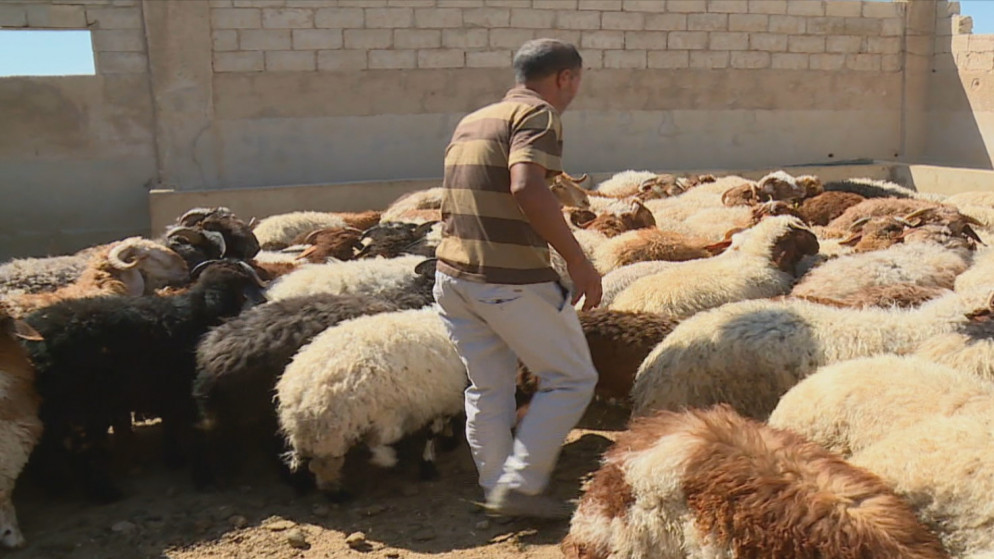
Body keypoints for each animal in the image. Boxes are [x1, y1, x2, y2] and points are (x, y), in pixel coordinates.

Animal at [21, 260, 268, 502]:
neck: (198, 316)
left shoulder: (171, 394)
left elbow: (171, 426)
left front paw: (174, 459)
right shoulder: (191, 397)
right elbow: (196, 437)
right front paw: (203, 477)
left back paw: (57, 486)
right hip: (82, 406)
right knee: (76, 449)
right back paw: (103, 492)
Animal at [276, 306, 467, 497]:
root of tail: (298, 396)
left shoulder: (445, 399)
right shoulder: (446, 399)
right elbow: (433, 431)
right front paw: (429, 463)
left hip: (323, 436)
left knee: (316, 464)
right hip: (351, 425)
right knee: (340, 458)